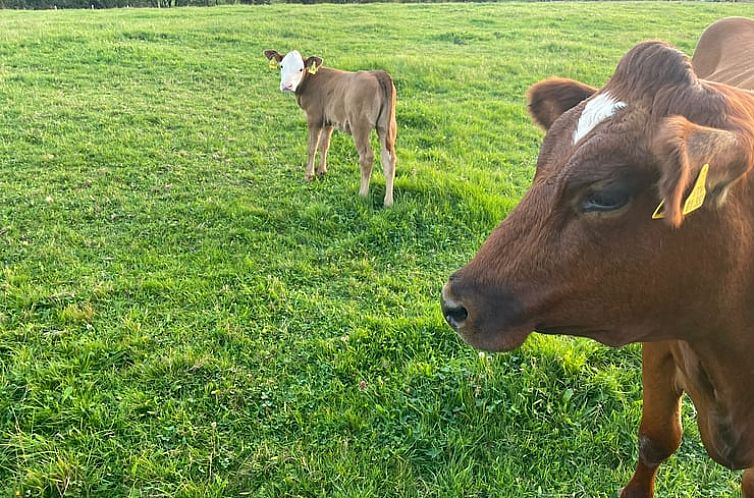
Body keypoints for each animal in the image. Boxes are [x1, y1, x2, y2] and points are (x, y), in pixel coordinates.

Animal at [262, 49, 396, 207]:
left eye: (300, 69)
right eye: (282, 66)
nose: (287, 85)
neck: (312, 80)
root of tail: (378, 74)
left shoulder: (314, 117)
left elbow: (312, 147)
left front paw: (309, 175)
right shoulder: (329, 120)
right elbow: (324, 145)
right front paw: (322, 171)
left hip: (360, 126)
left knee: (367, 157)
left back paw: (363, 194)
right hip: (386, 126)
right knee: (389, 158)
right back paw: (388, 201)